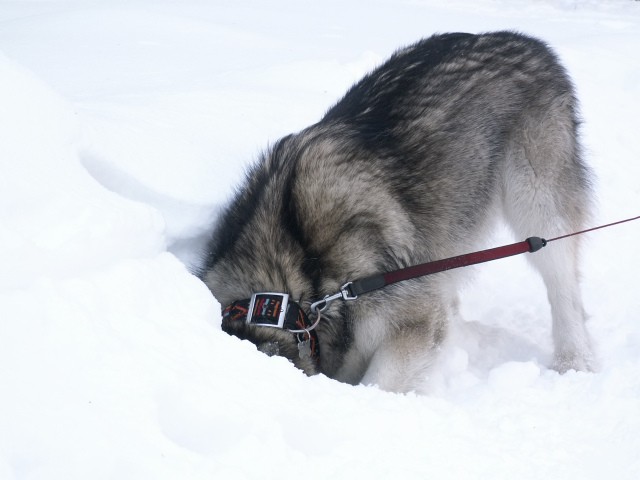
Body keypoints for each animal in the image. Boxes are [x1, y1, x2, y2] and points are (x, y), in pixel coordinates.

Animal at [201, 31, 596, 394]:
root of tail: (527, 40)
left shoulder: (413, 319)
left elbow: (379, 383)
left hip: (537, 206)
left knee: (563, 289)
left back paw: (573, 361)